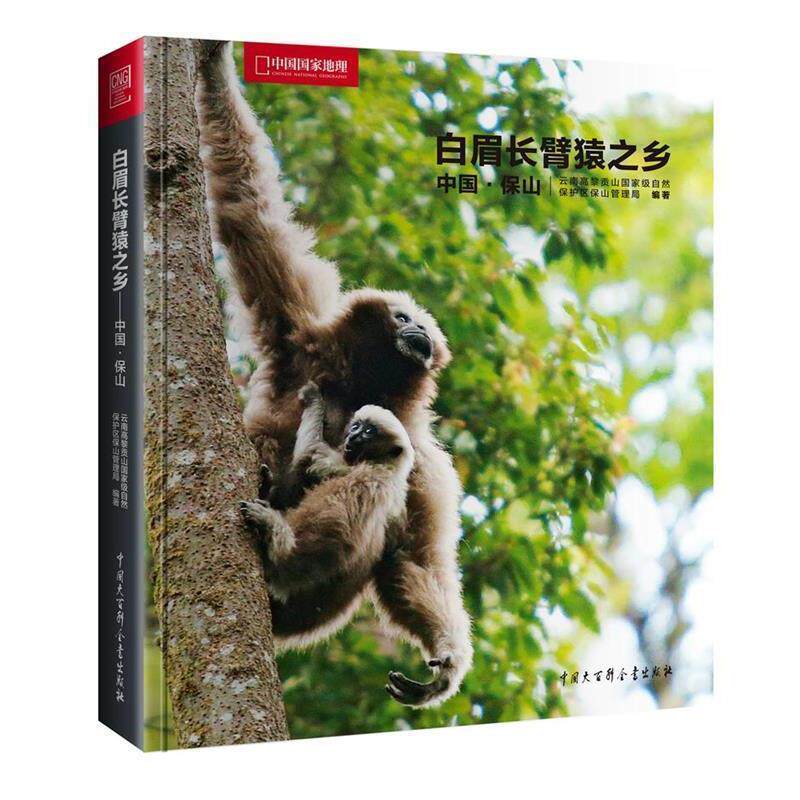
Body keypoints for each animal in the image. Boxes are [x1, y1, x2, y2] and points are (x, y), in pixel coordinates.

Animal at [197, 42, 472, 707]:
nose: (420, 334)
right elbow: (249, 210)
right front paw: (213, 65)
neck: (358, 384)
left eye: (420, 324)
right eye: (403, 315)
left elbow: (412, 556)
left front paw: (447, 663)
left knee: (386, 468)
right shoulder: (297, 330)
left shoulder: (427, 455)